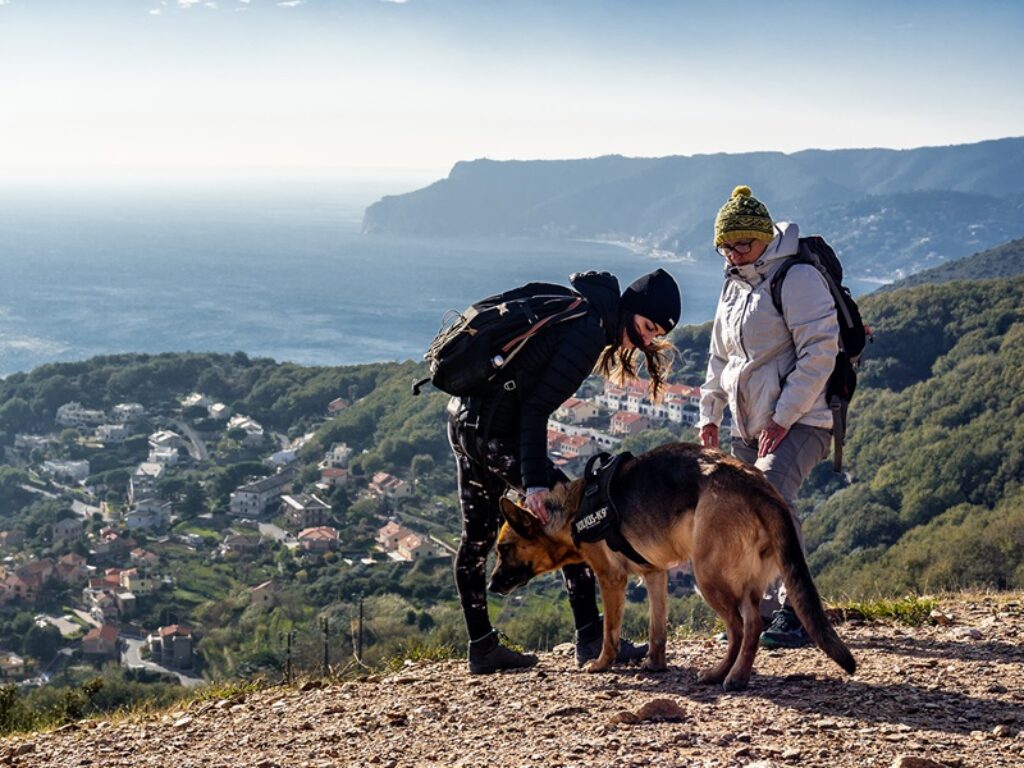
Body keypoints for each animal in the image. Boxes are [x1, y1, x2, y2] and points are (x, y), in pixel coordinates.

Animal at [487, 442, 856, 696]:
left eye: (503, 549)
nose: (490, 587)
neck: (571, 509)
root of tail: (754, 484)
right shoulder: (655, 575)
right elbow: (657, 629)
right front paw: (655, 664)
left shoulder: (611, 579)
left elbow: (610, 632)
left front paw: (602, 664)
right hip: (745, 582)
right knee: (751, 624)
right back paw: (734, 673)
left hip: (707, 576)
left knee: (741, 628)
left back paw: (726, 675)